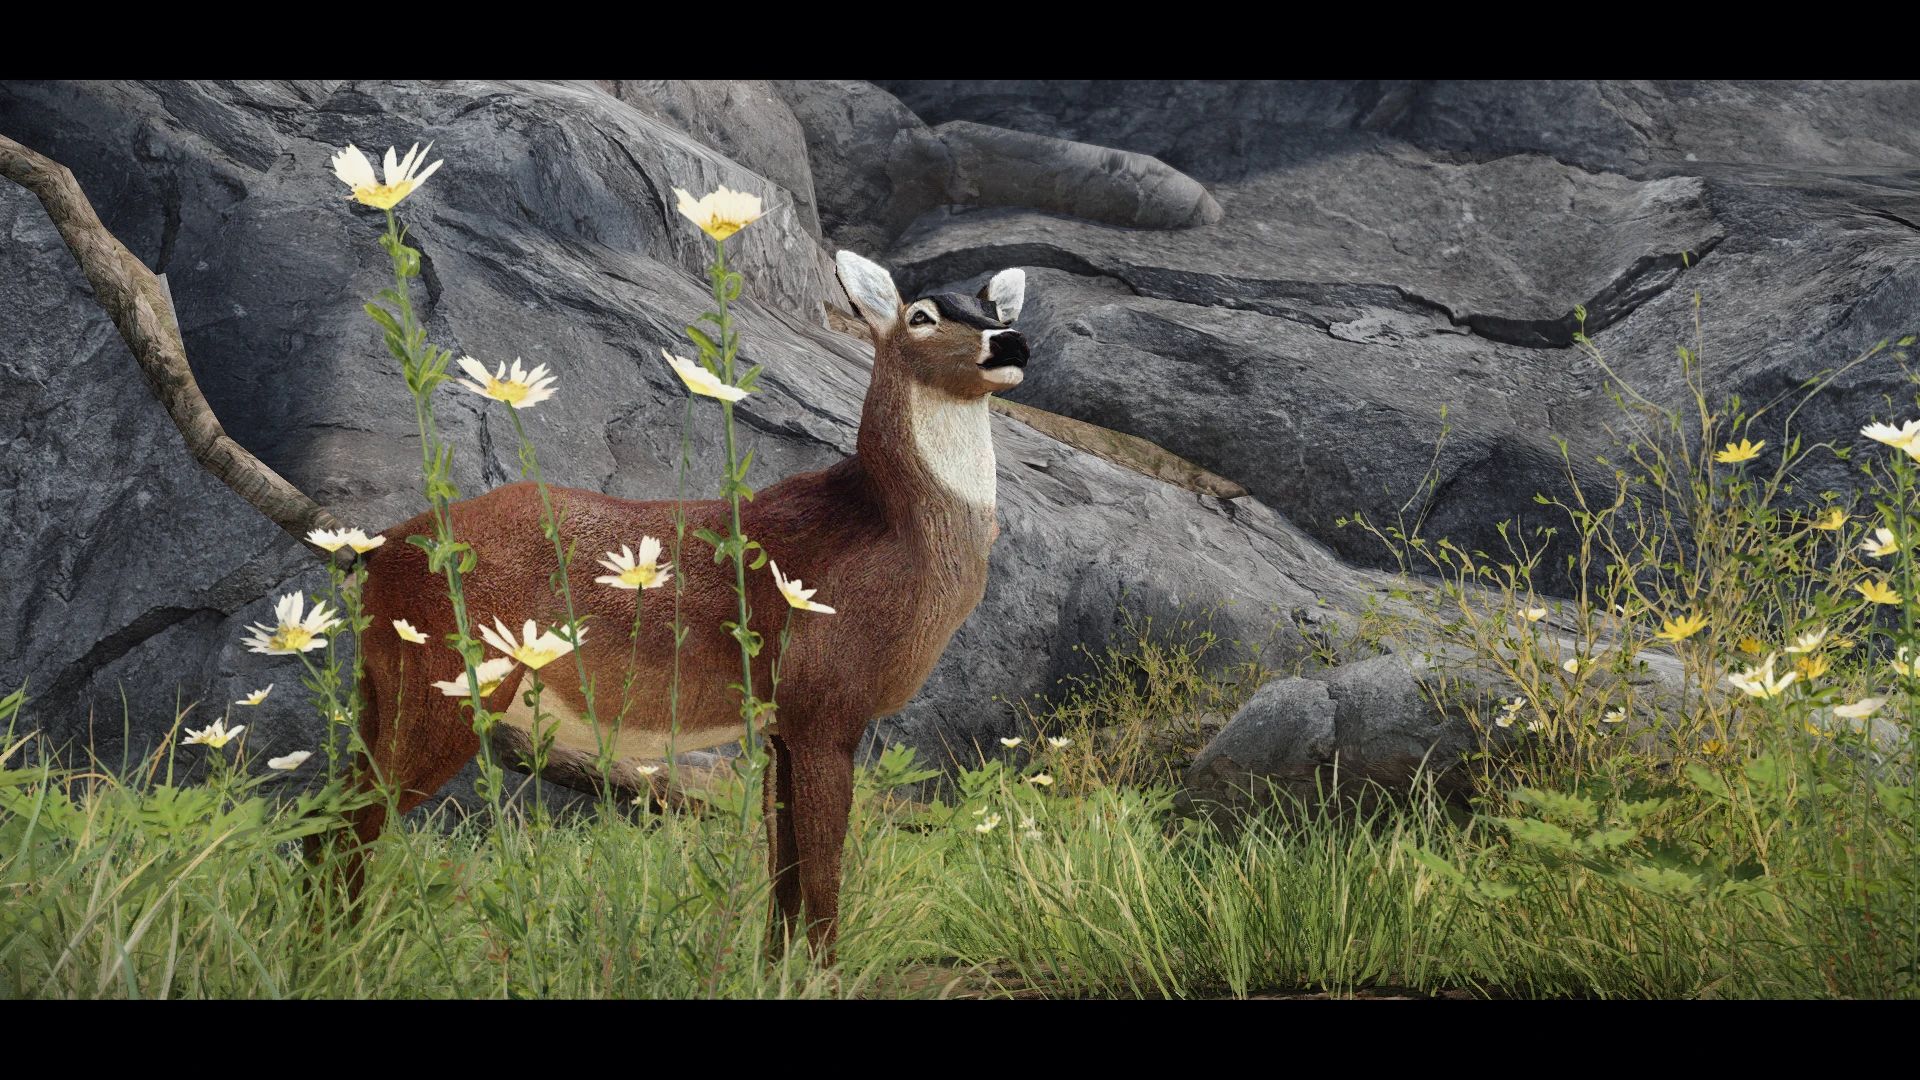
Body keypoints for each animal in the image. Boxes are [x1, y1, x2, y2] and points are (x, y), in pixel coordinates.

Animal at [338, 251, 1030, 957]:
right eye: (921, 316)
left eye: (994, 309)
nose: (1011, 343)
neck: (889, 532)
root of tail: (375, 553)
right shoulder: (826, 703)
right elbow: (822, 867)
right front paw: (822, 970)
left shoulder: (781, 721)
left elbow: (783, 863)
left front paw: (772, 966)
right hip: (444, 682)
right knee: (352, 821)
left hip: (383, 685)